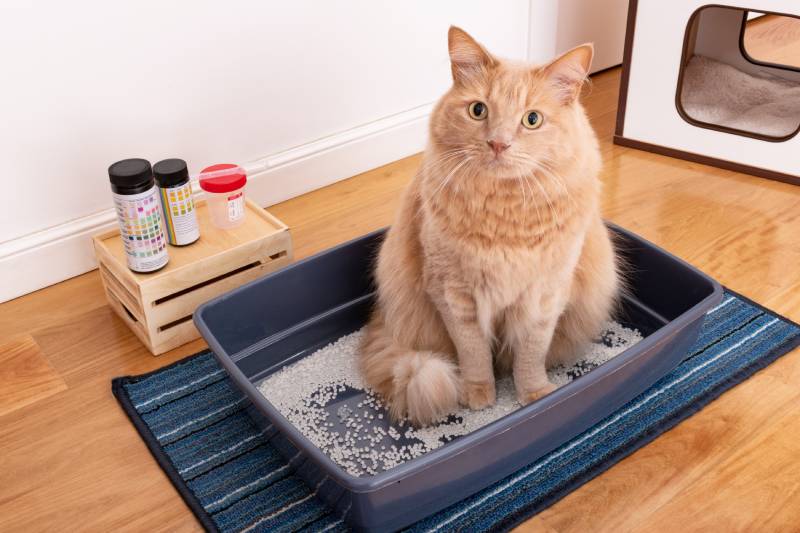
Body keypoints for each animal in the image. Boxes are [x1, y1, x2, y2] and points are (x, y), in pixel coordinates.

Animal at [360, 28, 620, 428]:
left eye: (532, 119)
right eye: (478, 110)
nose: (498, 143)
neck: (505, 215)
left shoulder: (545, 297)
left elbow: (530, 355)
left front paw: (535, 395)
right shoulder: (455, 295)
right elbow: (474, 354)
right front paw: (479, 394)